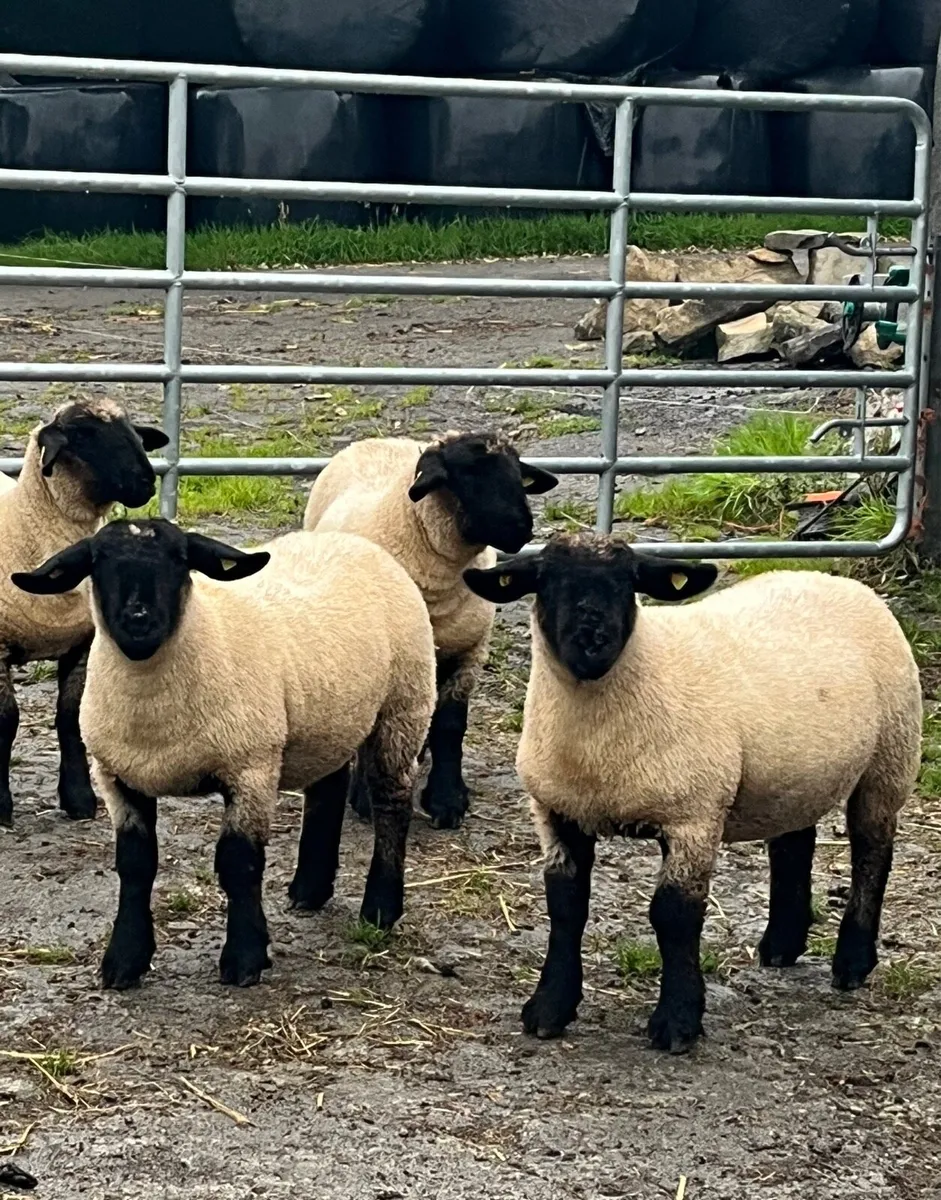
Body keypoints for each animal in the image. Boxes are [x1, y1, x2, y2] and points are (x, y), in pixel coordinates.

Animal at [0, 400, 168, 826]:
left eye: (135, 432)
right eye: (84, 435)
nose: (147, 482)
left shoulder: (82, 642)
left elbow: (69, 716)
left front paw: (78, 799)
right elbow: (7, 718)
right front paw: (0, 805)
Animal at [12, 518, 436, 990]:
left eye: (180, 559)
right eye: (97, 562)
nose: (139, 619)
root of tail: (354, 542)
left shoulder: (250, 767)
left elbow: (239, 863)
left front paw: (244, 958)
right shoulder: (119, 776)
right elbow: (135, 865)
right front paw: (124, 960)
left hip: (404, 703)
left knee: (391, 802)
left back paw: (380, 909)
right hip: (329, 717)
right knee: (328, 790)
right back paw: (310, 889)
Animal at [303, 431, 558, 829]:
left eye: (517, 473)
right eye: (467, 474)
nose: (520, 528)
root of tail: (383, 438)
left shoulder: (468, 651)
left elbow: (450, 725)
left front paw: (447, 800)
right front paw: (365, 797)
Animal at [464, 532, 922, 1053]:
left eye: (628, 582)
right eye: (546, 580)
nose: (593, 640)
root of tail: (830, 578)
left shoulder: (694, 816)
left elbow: (675, 916)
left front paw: (677, 1021)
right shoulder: (558, 811)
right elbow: (566, 907)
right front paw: (549, 1008)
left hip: (890, 757)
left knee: (872, 853)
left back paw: (853, 961)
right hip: (794, 771)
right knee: (793, 843)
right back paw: (782, 944)